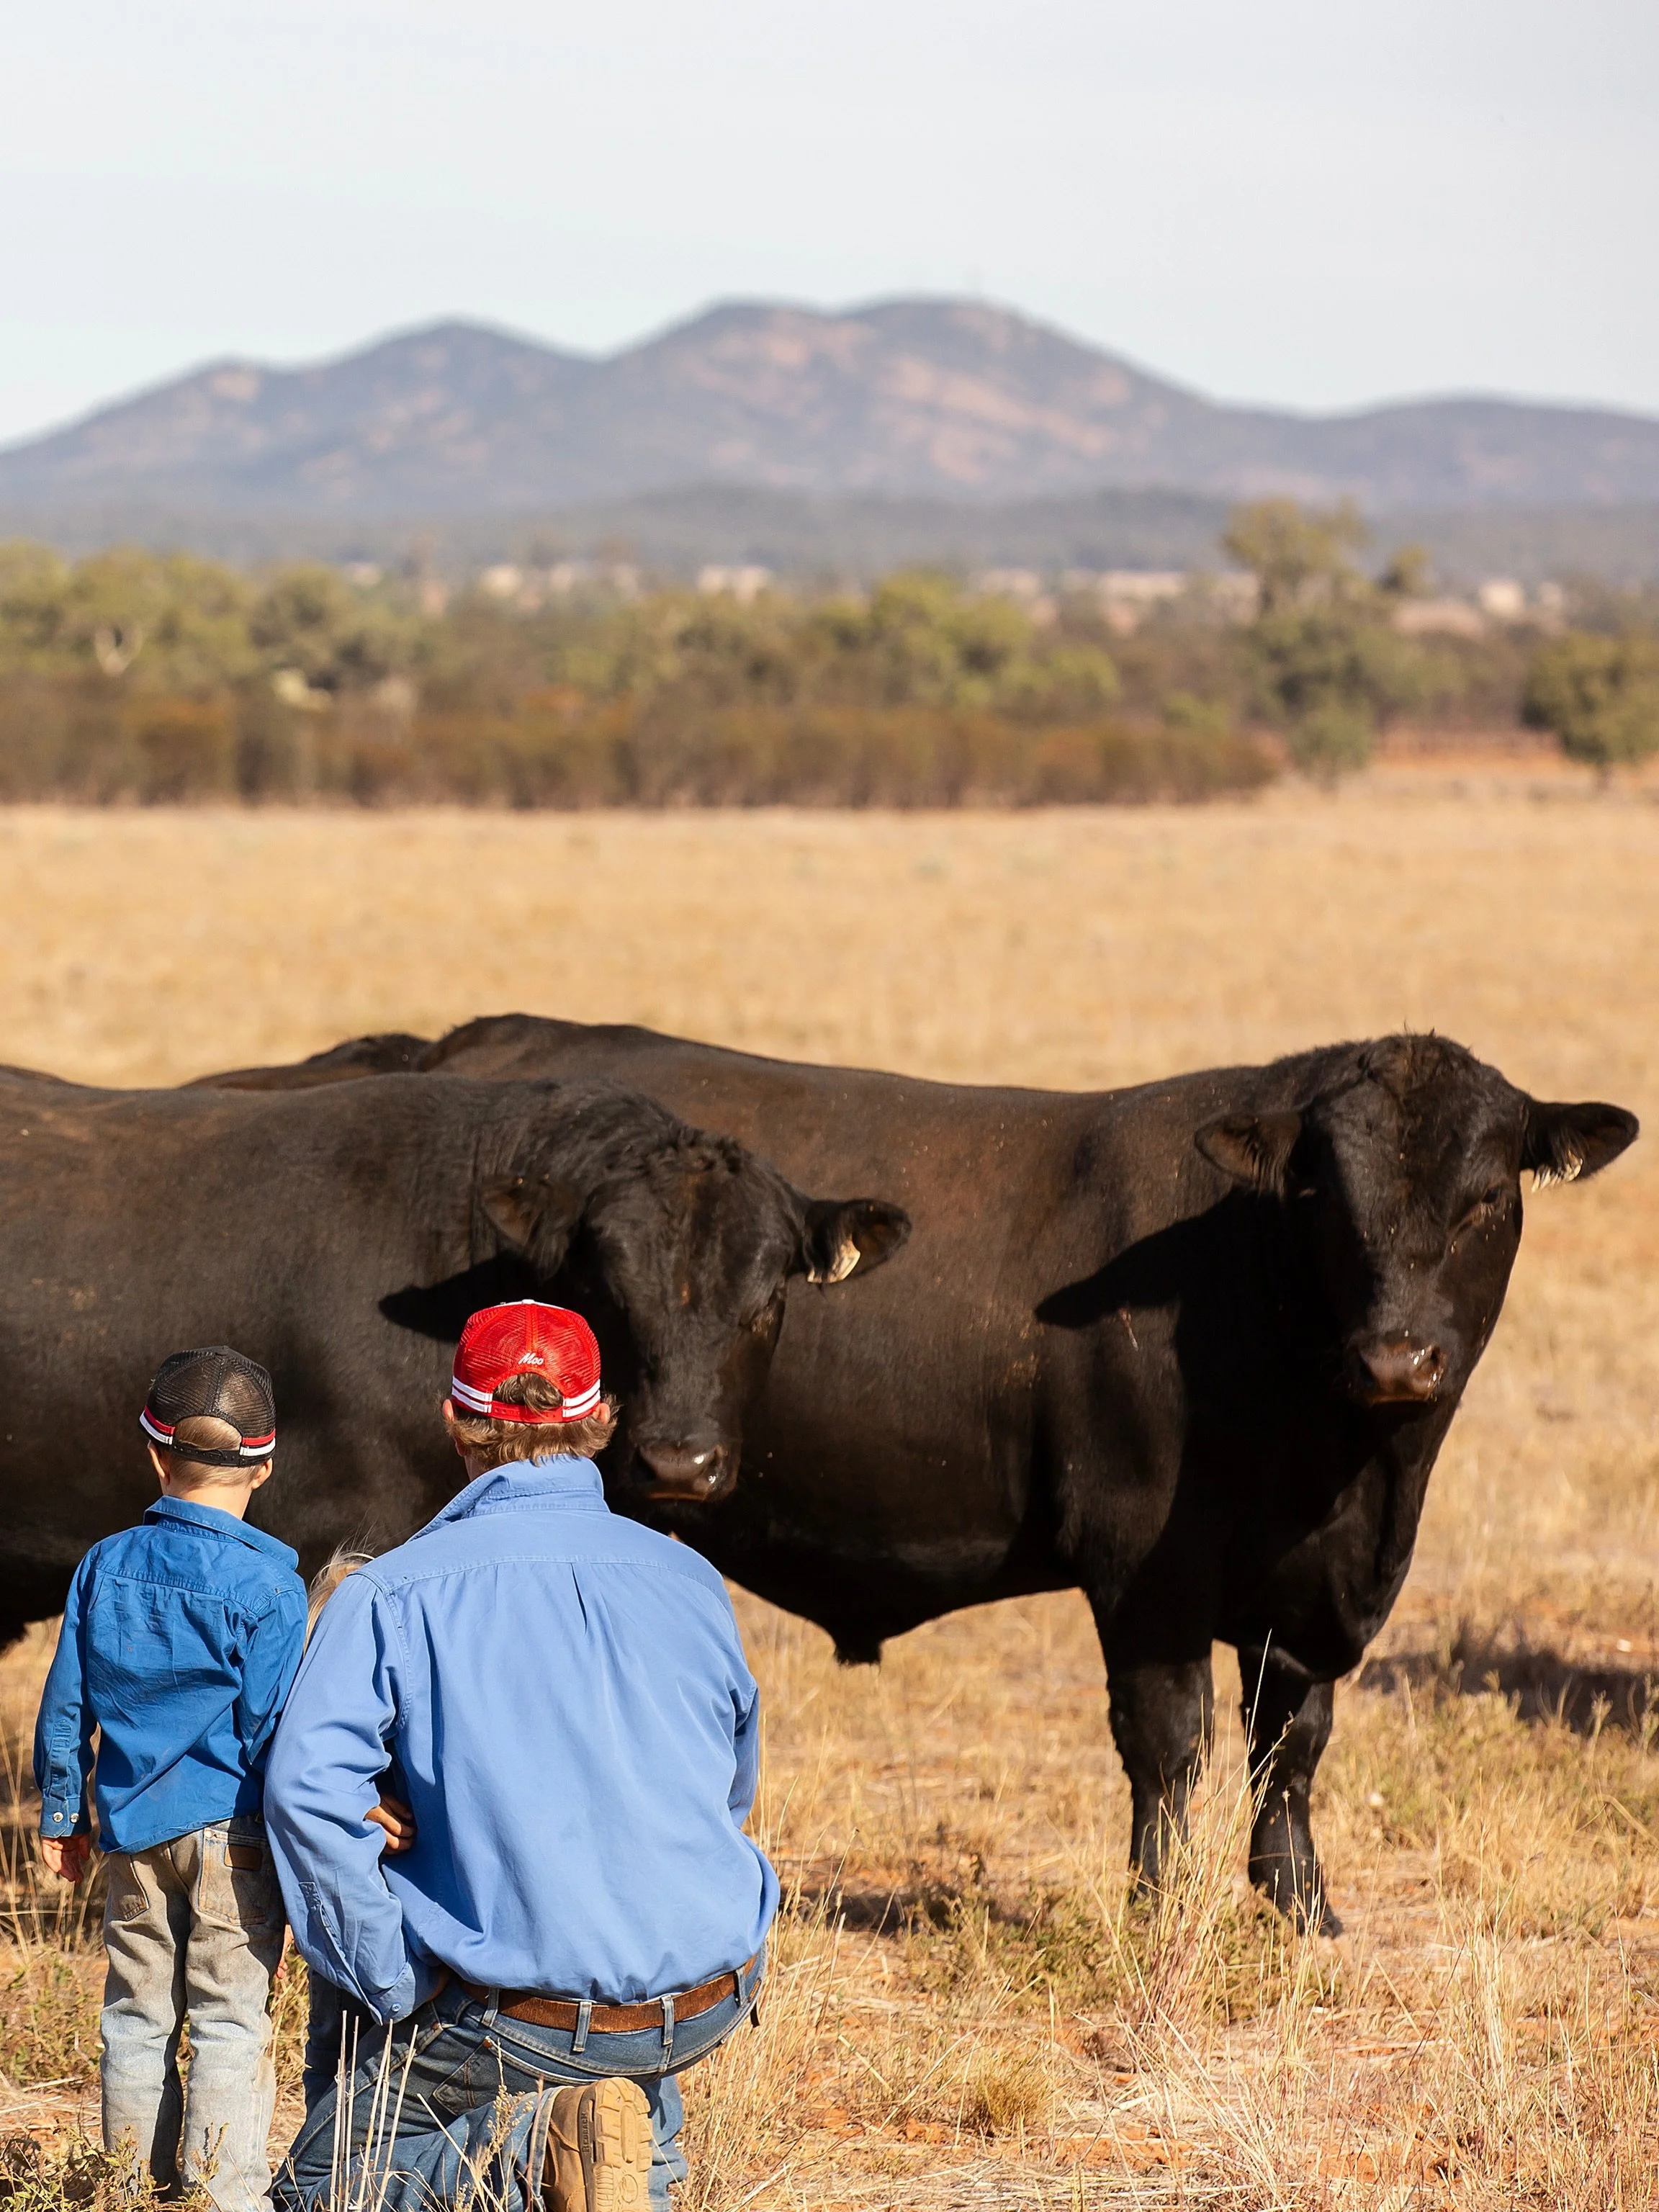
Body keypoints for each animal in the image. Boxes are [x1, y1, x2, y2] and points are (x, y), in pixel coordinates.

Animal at [204, 1018, 1638, 1931]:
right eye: (1325, 1199)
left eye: (1484, 1198)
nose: (1399, 1355)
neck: (1347, 1465)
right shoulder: (1146, 1569)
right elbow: (1167, 1745)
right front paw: (1159, 1915)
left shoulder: (1320, 1593)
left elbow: (1291, 1743)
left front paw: (1301, 1910)